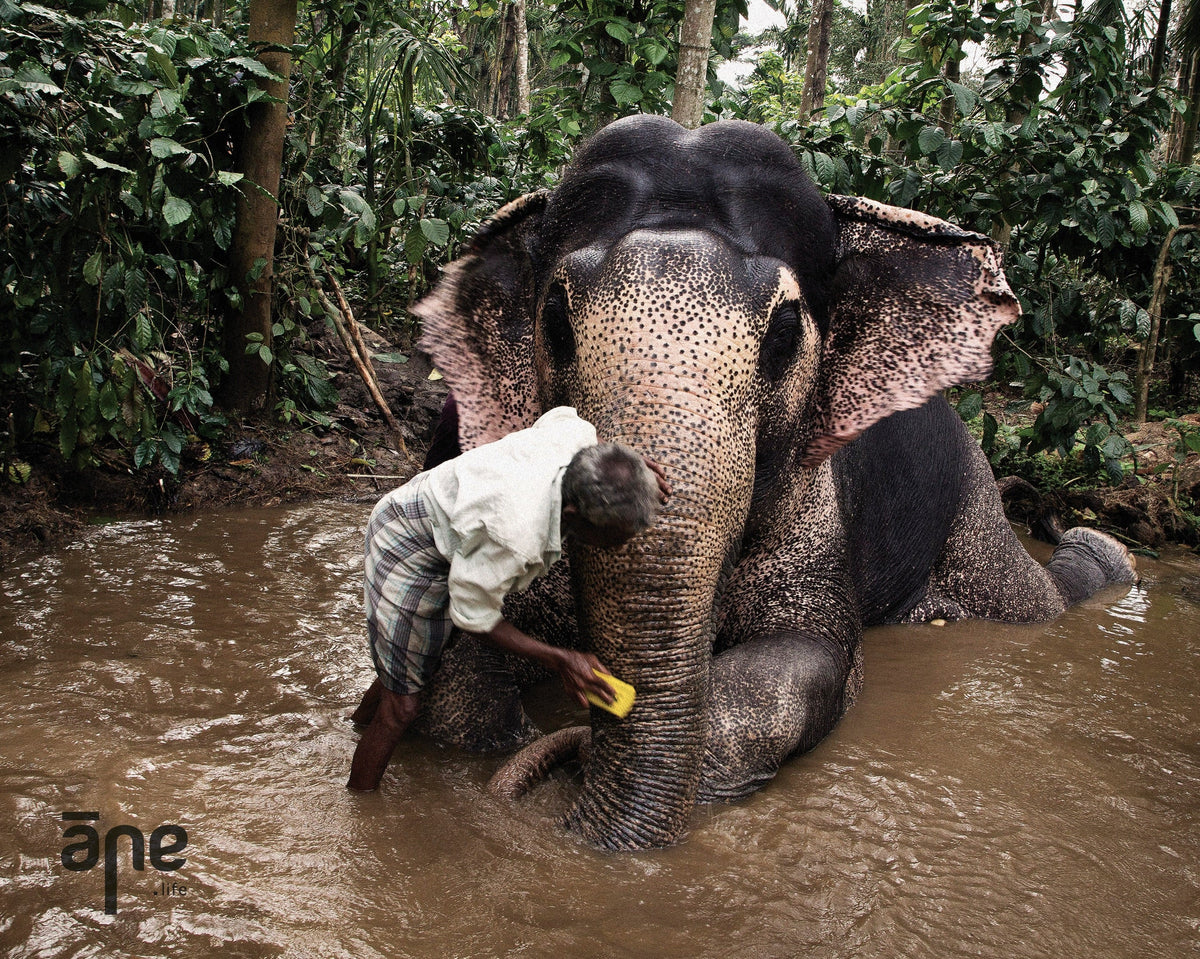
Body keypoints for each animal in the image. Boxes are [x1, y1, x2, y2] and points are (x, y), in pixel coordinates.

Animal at [406, 114, 1137, 850]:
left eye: (784, 333)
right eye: (554, 319)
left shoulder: (818, 509)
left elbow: (809, 660)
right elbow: (464, 654)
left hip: (972, 496)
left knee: (1032, 598)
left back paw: (1104, 553)